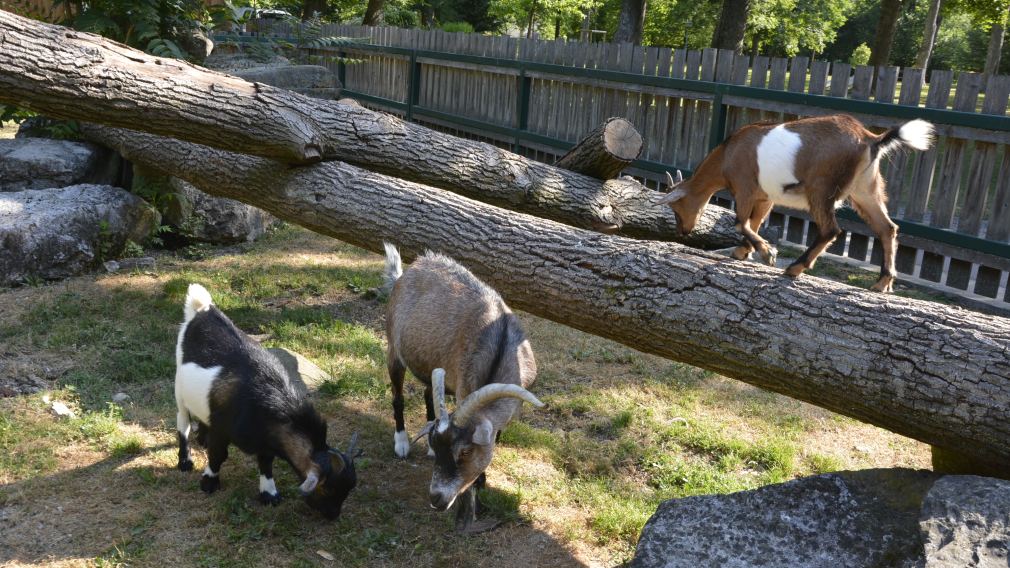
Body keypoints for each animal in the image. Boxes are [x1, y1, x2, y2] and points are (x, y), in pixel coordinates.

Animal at [175, 282, 361, 517]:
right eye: (328, 489)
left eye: (349, 489)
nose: (333, 516)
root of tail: (202, 309)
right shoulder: (222, 429)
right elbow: (218, 455)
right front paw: (209, 482)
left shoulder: (266, 439)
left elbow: (265, 464)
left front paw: (269, 494)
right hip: (179, 388)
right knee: (183, 421)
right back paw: (185, 460)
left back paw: (202, 438)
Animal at [381, 243, 545, 529]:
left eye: (466, 451)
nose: (436, 498)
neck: (502, 348)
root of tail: (407, 272)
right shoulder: (462, 387)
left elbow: (494, 438)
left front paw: (481, 480)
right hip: (394, 350)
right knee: (397, 397)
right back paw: (401, 443)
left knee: (427, 393)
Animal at [658, 115, 933, 291]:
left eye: (677, 207)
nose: (683, 231)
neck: (727, 155)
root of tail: (869, 138)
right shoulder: (765, 197)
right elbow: (754, 224)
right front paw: (743, 252)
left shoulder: (745, 189)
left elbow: (740, 223)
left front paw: (767, 253)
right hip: (865, 188)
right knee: (888, 228)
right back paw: (882, 283)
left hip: (821, 189)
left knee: (830, 229)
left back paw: (794, 268)